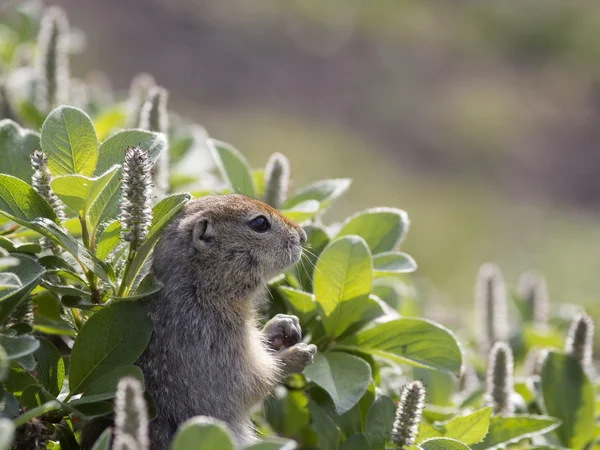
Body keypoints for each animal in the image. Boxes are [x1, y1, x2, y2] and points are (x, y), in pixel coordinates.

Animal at [135, 195, 314, 448]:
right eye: (260, 223)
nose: (303, 236)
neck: (200, 288)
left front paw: (283, 325)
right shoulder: (213, 340)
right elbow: (250, 383)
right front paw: (297, 355)